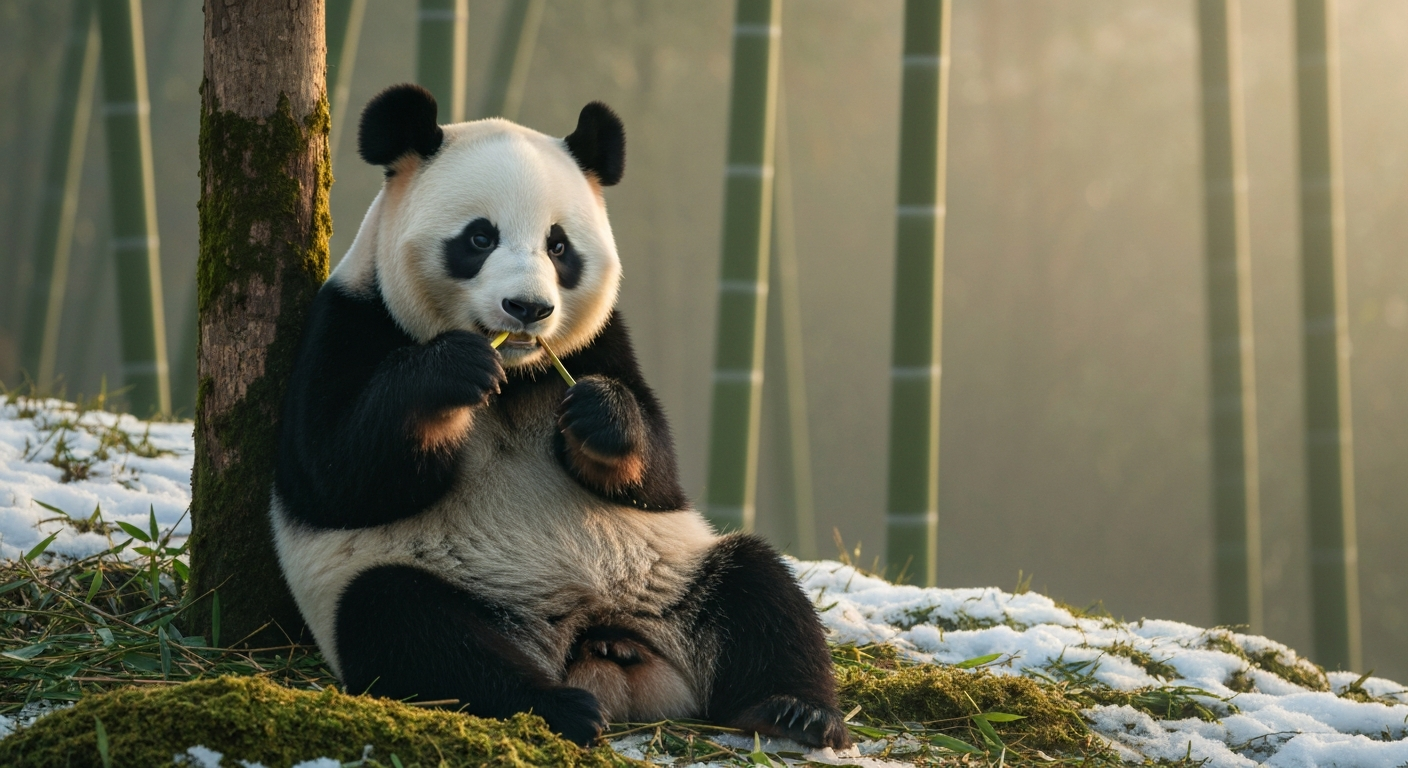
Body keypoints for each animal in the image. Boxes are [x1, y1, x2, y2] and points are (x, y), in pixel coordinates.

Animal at [270, 84, 850, 749]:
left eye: (558, 245)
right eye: (479, 239)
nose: (528, 308)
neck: (516, 379)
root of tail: (598, 643)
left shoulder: (601, 344)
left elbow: (659, 476)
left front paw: (602, 415)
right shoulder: (347, 319)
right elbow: (334, 474)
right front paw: (450, 372)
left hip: (673, 579)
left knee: (758, 588)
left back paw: (793, 710)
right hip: (448, 589)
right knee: (411, 627)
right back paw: (558, 706)